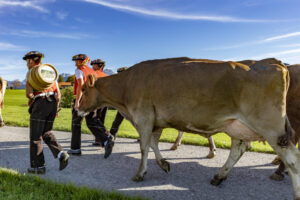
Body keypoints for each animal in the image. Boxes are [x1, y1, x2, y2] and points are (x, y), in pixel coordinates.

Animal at [78, 57, 300, 199]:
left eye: (84, 90)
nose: (77, 108)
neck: (126, 86)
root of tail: (272, 61)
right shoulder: (155, 120)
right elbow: (153, 144)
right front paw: (164, 164)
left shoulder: (143, 117)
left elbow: (144, 147)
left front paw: (140, 174)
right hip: (238, 126)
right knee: (238, 150)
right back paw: (219, 176)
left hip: (272, 128)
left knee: (293, 159)